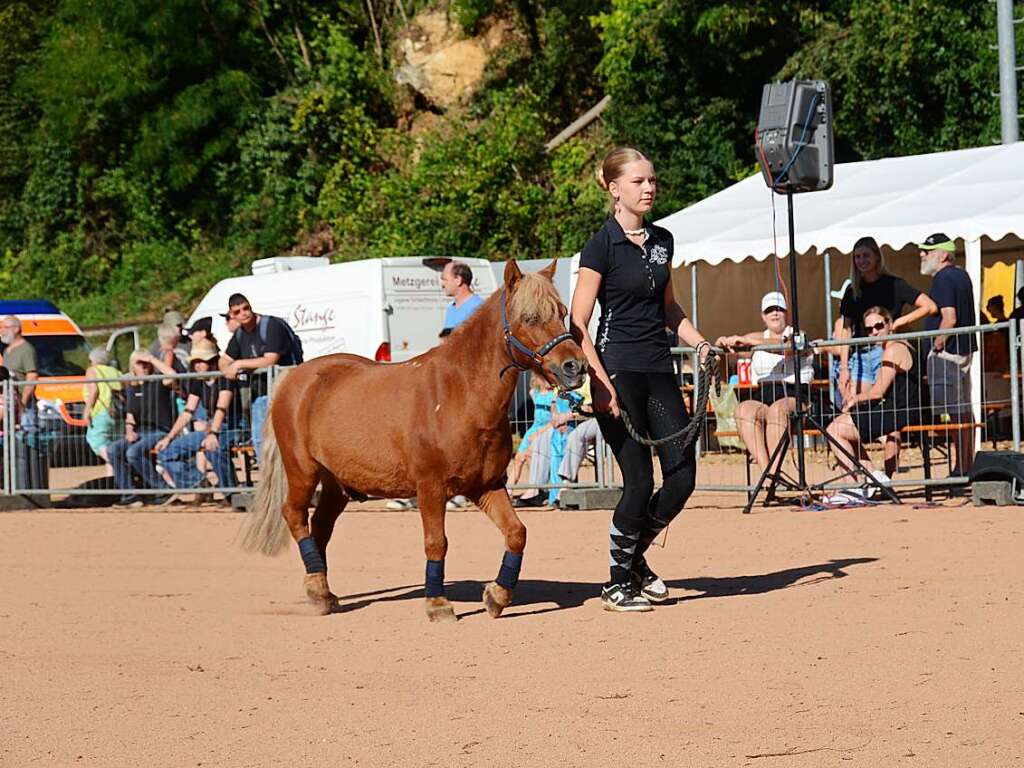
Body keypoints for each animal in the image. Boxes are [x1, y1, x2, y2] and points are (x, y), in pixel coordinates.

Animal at [240, 262, 589, 622]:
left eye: (562, 313)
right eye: (530, 317)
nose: (576, 366)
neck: (460, 394)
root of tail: (293, 378)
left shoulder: (486, 485)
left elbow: (516, 533)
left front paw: (497, 595)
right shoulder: (430, 488)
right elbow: (436, 542)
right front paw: (437, 603)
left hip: (337, 484)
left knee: (320, 527)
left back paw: (321, 589)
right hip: (303, 471)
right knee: (295, 516)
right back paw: (317, 590)